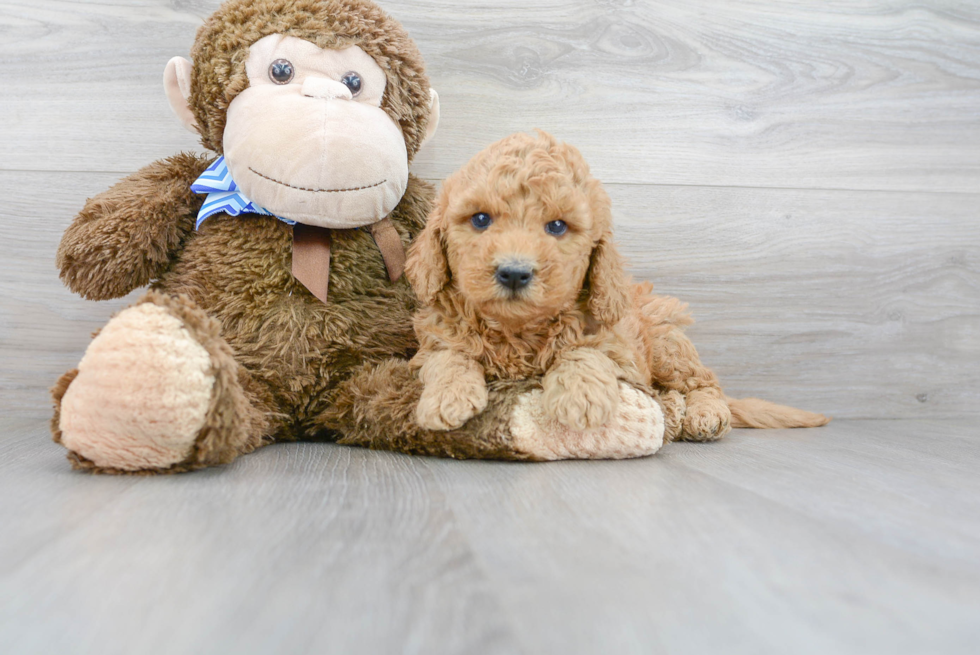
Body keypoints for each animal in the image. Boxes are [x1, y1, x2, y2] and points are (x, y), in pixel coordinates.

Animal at [406, 131, 828, 440]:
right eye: (480, 219)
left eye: (557, 226)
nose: (513, 272)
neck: (518, 332)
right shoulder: (431, 344)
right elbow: (449, 356)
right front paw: (448, 397)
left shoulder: (619, 350)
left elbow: (586, 352)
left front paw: (582, 396)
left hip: (667, 344)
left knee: (706, 383)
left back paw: (702, 414)